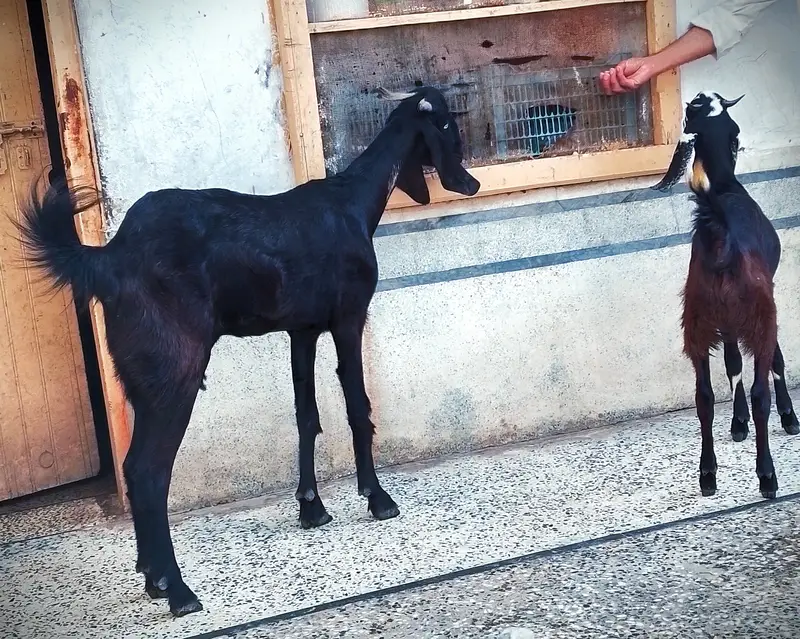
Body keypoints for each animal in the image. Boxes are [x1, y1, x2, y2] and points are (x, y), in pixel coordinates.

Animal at [16, 86, 480, 617]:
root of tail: (110, 257)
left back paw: (153, 579)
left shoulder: (301, 331)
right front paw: (378, 498)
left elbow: (307, 415)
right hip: (175, 372)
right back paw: (176, 589)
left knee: (138, 469)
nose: (471, 183)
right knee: (147, 472)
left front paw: (311, 507)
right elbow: (357, 408)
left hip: (139, 375)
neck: (353, 201)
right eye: (447, 126)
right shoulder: (348, 319)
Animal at [653, 90, 799, 501]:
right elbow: (775, 361)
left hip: (698, 323)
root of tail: (721, 244)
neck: (723, 185)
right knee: (761, 391)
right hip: (755, 314)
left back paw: (707, 475)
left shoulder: (727, 323)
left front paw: (737, 423)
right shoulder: (765, 307)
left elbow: (732, 364)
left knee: (703, 395)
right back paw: (767, 477)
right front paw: (788, 417)